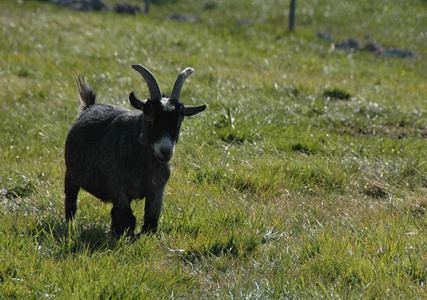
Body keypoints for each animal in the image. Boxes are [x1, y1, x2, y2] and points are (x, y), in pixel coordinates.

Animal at [63, 65, 207, 237]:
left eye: (180, 120)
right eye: (149, 116)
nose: (165, 151)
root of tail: (89, 106)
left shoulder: (157, 190)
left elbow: (151, 222)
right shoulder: (118, 188)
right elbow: (127, 218)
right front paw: (124, 237)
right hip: (71, 175)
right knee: (71, 202)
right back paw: (71, 226)